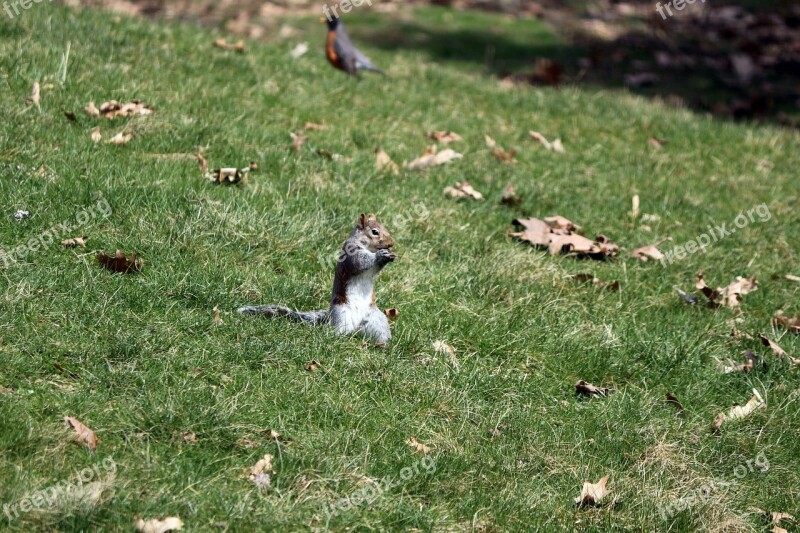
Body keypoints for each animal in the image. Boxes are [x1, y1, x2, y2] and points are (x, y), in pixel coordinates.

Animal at [239, 213, 398, 342]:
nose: (391, 244)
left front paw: (389, 256)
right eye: (374, 232)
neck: (368, 247)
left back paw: (383, 345)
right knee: (338, 330)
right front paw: (380, 255)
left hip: (376, 320)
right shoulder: (351, 253)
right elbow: (360, 263)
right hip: (342, 314)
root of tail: (356, 326)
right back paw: (335, 337)